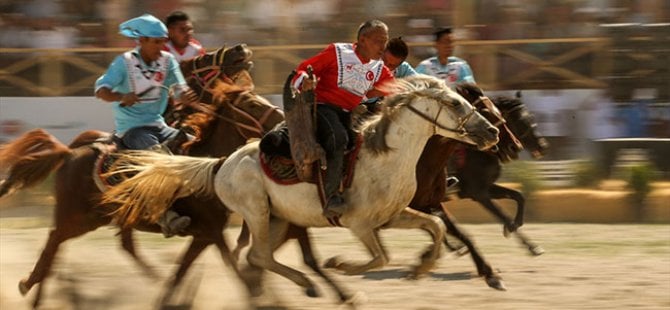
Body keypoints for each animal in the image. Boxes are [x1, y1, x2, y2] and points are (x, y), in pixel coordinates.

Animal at [0, 44, 286, 308]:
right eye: (251, 103)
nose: (241, 49)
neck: (207, 165)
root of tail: (69, 153)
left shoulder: (204, 235)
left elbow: (183, 271)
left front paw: (171, 299)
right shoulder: (211, 231)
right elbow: (234, 269)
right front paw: (263, 296)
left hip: (99, 217)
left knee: (91, 245)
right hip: (77, 217)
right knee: (54, 241)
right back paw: (33, 289)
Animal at [103, 74, 498, 296]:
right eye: (454, 103)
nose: (492, 131)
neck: (385, 158)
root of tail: (221, 163)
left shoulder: (394, 216)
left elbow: (434, 227)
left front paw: (421, 268)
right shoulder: (359, 224)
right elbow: (381, 257)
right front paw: (341, 264)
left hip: (279, 219)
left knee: (256, 258)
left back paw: (304, 285)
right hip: (257, 213)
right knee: (258, 256)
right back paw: (311, 283)